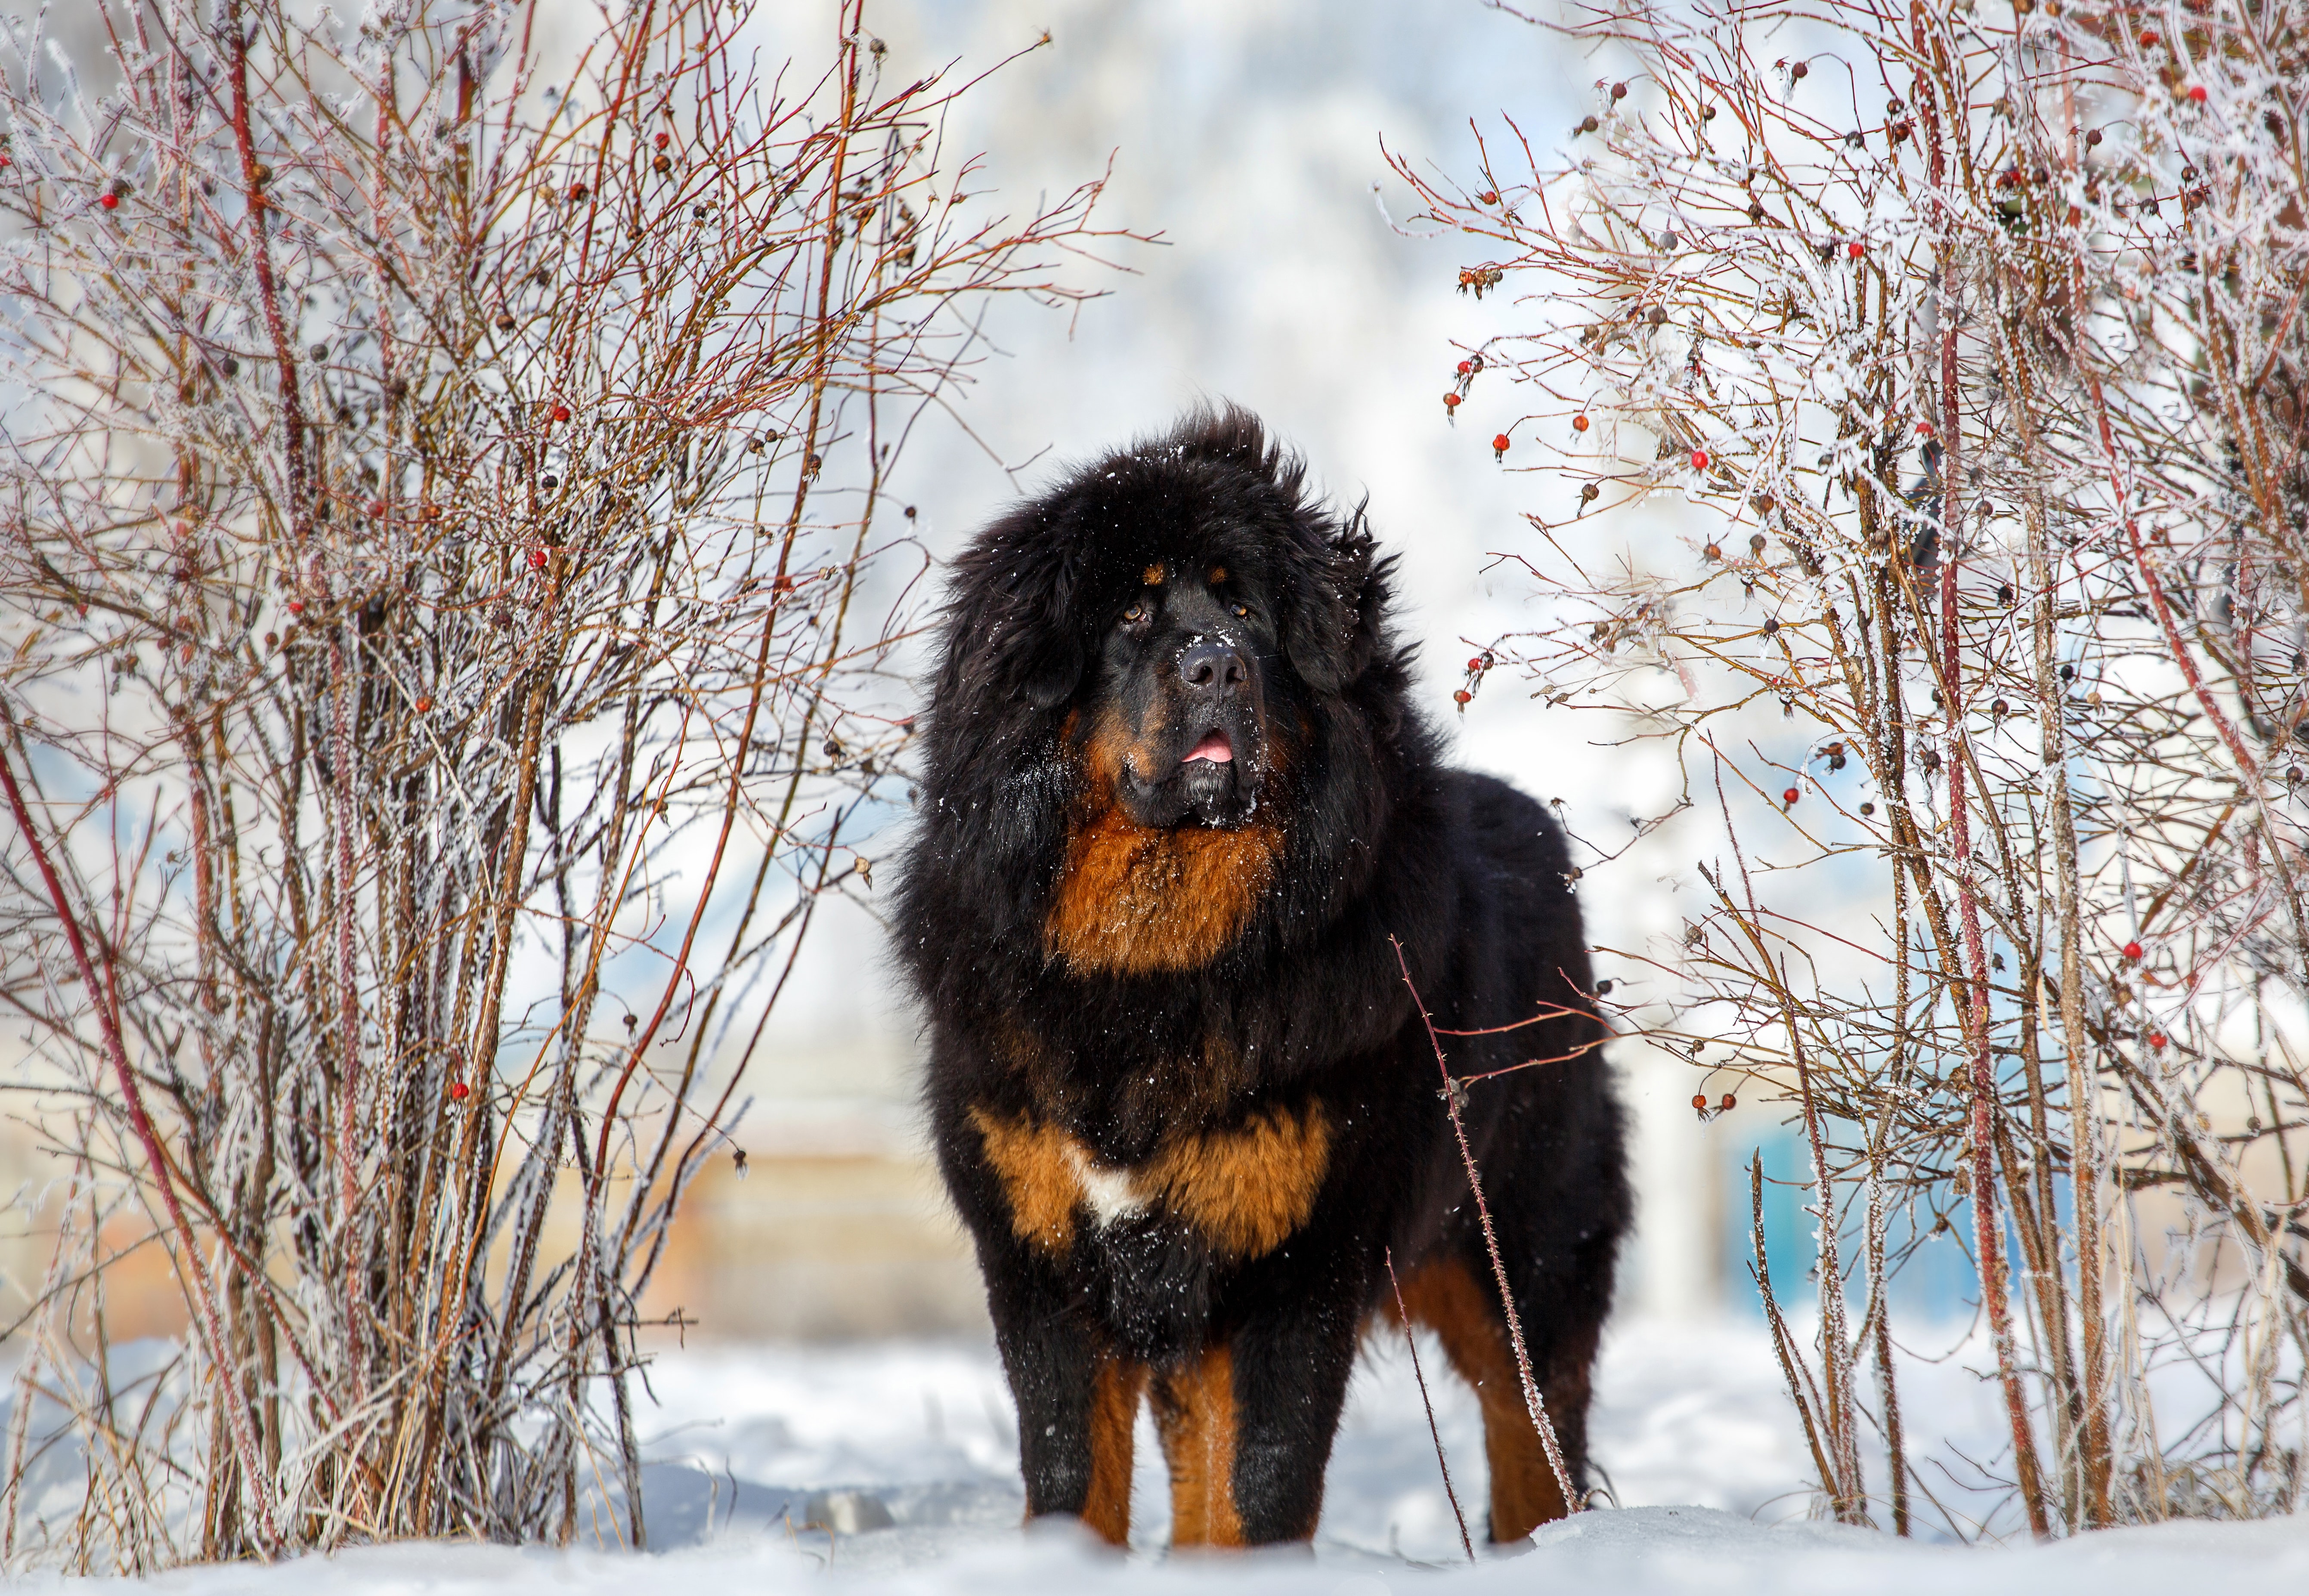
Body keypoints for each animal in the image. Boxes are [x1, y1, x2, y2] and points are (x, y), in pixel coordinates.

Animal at [886, 408, 1625, 1552]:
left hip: (1524, 1262)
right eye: (1132, 612)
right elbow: (1074, 1478)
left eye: (1243, 610)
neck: (1151, 968)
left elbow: (1263, 1483)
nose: (1216, 667)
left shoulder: (1294, 1264)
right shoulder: (1044, 1261)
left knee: (1534, 1445)